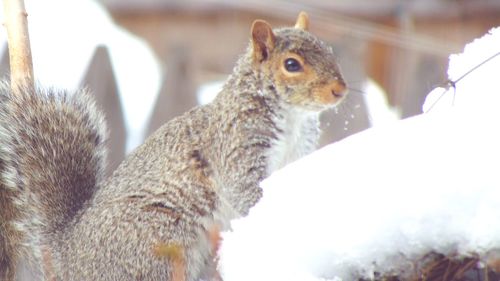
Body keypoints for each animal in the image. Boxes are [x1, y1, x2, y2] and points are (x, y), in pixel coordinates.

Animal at [0, 11, 346, 280]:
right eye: (292, 65)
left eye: (329, 50)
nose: (340, 90)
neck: (293, 118)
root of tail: (68, 256)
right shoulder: (236, 147)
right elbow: (245, 190)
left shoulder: (297, 153)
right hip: (158, 235)